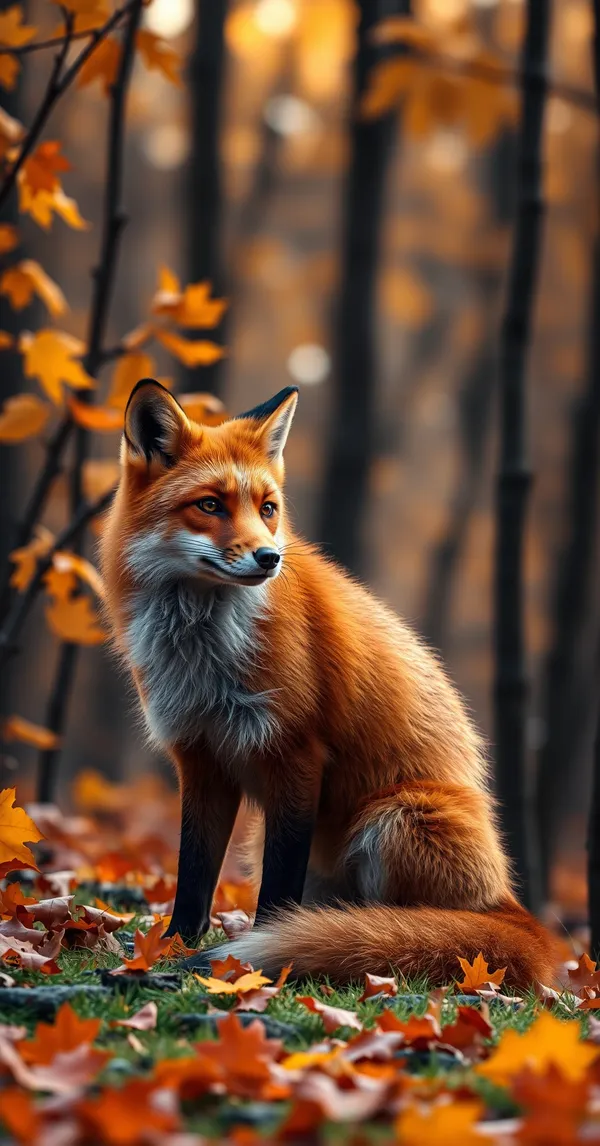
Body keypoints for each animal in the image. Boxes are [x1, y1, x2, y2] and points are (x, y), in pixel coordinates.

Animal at [100, 378, 556, 987]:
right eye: (210, 505)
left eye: (268, 509)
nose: (270, 557)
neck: (205, 650)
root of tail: (509, 901)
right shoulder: (200, 757)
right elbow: (192, 879)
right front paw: (172, 947)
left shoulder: (296, 754)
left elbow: (276, 895)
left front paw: (255, 959)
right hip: (276, 838)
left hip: (394, 819)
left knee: (419, 926)